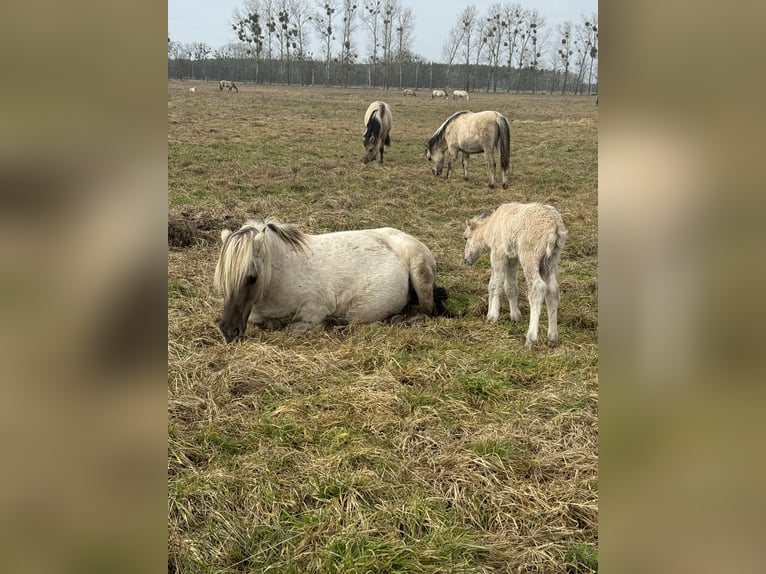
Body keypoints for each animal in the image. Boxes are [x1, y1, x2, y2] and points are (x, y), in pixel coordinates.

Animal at [214, 218, 450, 340]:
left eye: (252, 278)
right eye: (221, 279)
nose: (228, 332)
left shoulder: (315, 307)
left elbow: (294, 327)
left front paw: (331, 323)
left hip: (420, 272)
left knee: (427, 310)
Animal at [462, 205, 568, 348]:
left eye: (465, 238)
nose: (466, 260)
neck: (491, 226)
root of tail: (554, 226)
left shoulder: (498, 253)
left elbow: (495, 284)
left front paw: (492, 316)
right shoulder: (512, 257)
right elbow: (510, 286)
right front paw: (515, 316)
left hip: (530, 255)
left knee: (537, 288)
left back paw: (530, 339)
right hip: (551, 260)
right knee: (552, 290)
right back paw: (553, 337)